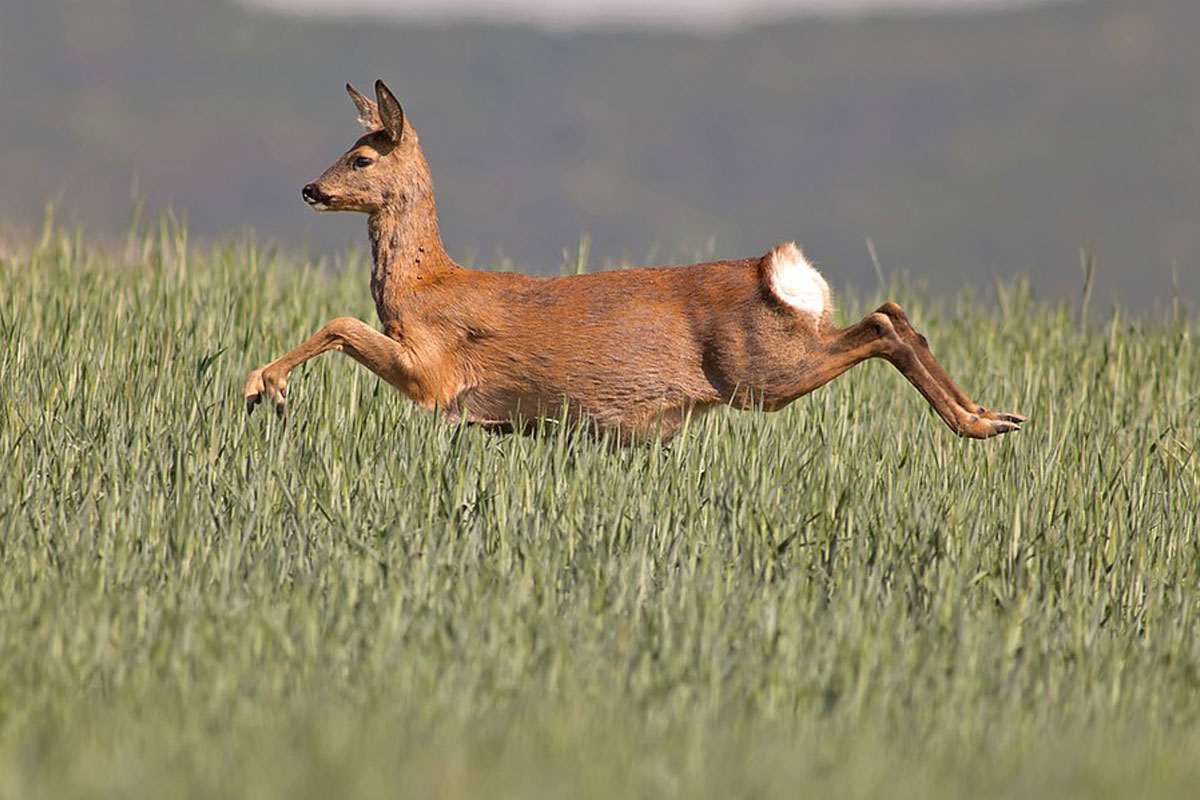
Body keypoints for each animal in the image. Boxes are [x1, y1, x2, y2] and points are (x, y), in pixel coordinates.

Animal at [241, 79, 1022, 443]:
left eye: (361, 156)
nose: (310, 188)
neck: (422, 284)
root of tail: (779, 271)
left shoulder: (433, 373)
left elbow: (341, 323)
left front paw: (262, 388)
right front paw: (264, 388)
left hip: (762, 374)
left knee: (882, 326)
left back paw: (978, 425)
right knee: (893, 311)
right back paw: (994, 416)